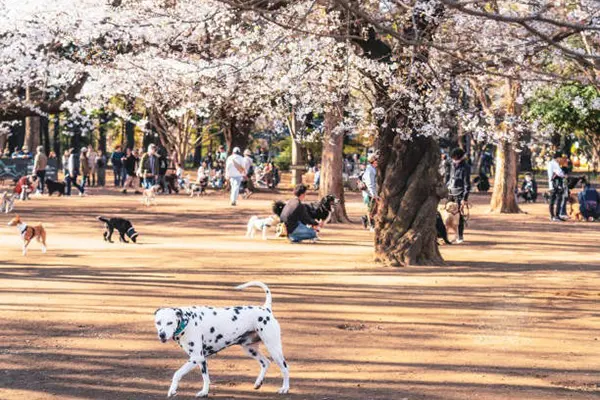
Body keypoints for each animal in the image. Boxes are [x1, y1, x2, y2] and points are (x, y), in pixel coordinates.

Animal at [155, 282, 290, 396]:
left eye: (170, 322)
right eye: (158, 322)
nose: (162, 334)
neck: (187, 320)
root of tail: (266, 309)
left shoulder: (196, 357)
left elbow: (177, 373)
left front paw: (172, 390)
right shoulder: (202, 359)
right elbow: (206, 379)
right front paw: (204, 392)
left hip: (274, 349)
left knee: (285, 368)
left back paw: (285, 388)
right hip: (250, 349)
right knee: (265, 362)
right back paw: (258, 383)